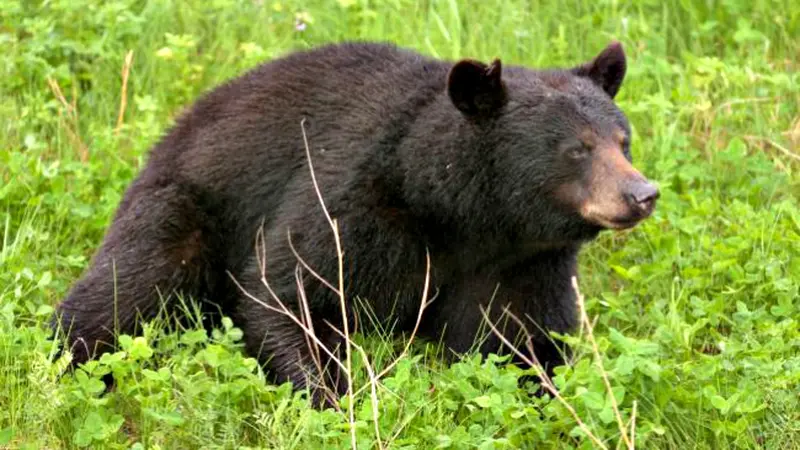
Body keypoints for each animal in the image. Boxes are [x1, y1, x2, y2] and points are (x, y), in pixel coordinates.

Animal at [53, 40, 660, 406]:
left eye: (622, 140)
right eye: (577, 149)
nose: (643, 194)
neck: (463, 214)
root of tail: (174, 130)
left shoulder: (523, 263)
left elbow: (524, 340)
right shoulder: (351, 202)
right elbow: (288, 290)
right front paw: (330, 395)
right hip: (183, 209)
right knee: (127, 290)